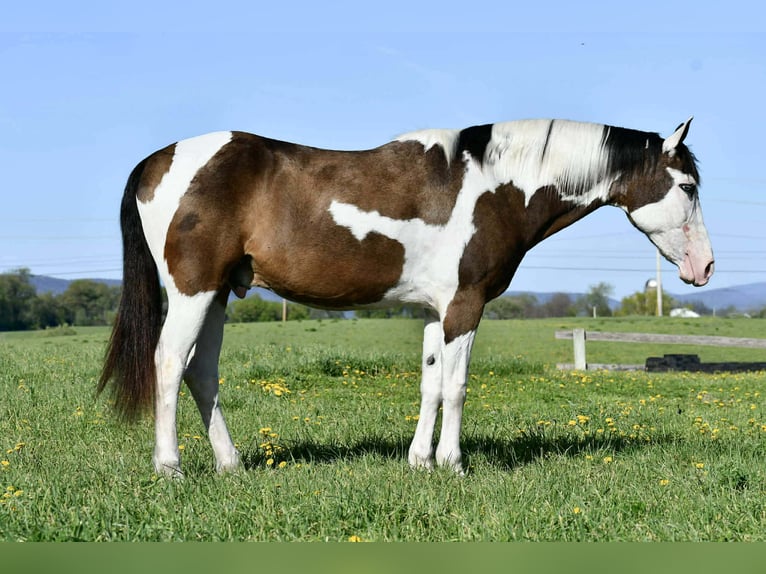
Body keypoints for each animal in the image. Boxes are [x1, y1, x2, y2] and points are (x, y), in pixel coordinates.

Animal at [98, 117, 714, 476]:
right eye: (686, 187)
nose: (704, 266)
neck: (492, 185)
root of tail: (157, 161)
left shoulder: (433, 311)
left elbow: (430, 384)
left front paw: (420, 463)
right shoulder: (466, 305)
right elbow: (458, 387)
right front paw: (453, 465)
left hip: (221, 295)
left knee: (201, 373)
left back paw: (231, 466)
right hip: (193, 292)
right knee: (169, 363)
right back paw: (171, 468)